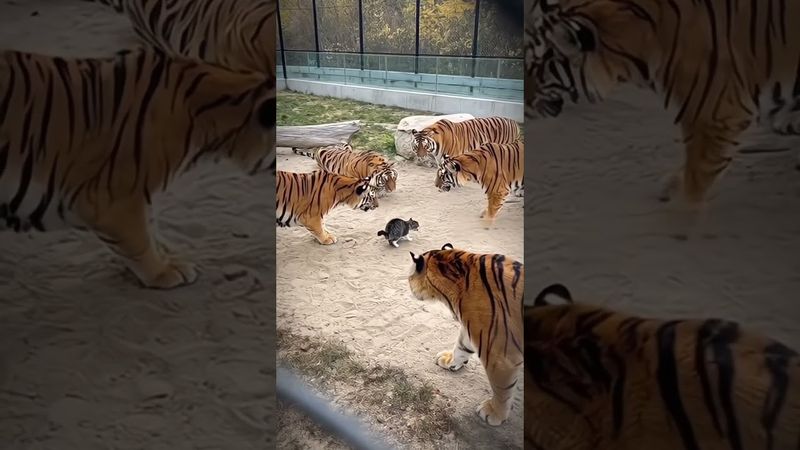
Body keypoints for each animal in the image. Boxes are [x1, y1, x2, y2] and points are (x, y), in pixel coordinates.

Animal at [0, 47, 275, 289]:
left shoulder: (143, 193)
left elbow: (151, 226)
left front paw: (169, 258)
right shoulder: (111, 199)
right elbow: (139, 239)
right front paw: (164, 272)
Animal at [407, 243, 524, 426]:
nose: (408, 284)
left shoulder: (500, 356)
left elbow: (501, 390)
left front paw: (494, 413)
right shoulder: (474, 329)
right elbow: (461, 347)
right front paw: (449, 361)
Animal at [524, 0, 800, 227]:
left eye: (537, 67)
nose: (524, 103)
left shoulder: (714, 114)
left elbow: (698, 173)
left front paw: (679, 218)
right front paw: (672, 188)